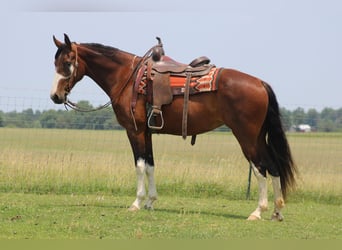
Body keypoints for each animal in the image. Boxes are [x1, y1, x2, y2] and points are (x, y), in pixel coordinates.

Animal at [49, 33, 296, 221]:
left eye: (67, 63)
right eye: (55, 63)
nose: (55, 96)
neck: (127, 77)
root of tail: (260, 83)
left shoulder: (134, 130)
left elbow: (139, 165)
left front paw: (137, 203)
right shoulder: (147, 132)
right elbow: (150, 165)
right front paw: (150, 202)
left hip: (246, 136)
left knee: (260, 168)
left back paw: (257, 211)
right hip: (258, 137)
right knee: (273, 166)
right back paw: (276, 211)